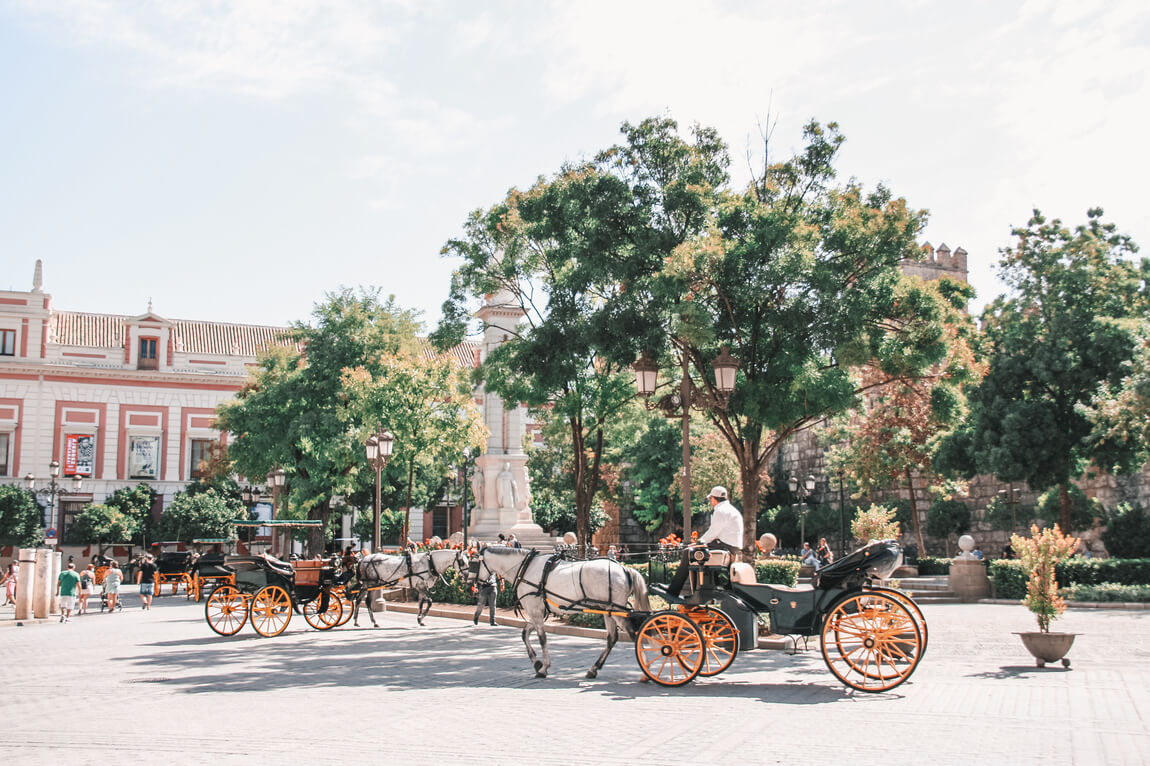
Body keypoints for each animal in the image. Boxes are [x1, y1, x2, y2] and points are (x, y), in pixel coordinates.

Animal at [466, 542, 648, 676]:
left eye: (473, 562)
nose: (468, 583)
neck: (525, 567)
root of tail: (624, 568)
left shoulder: (535, 612)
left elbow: (542, 638)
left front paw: (543, 667)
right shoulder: (536, 611)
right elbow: (525, 634)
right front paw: (536, 662)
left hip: (615, 610)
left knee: (634, 634)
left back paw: (645, 669)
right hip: (608, 611)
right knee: (612, 638)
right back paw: (594, 669)